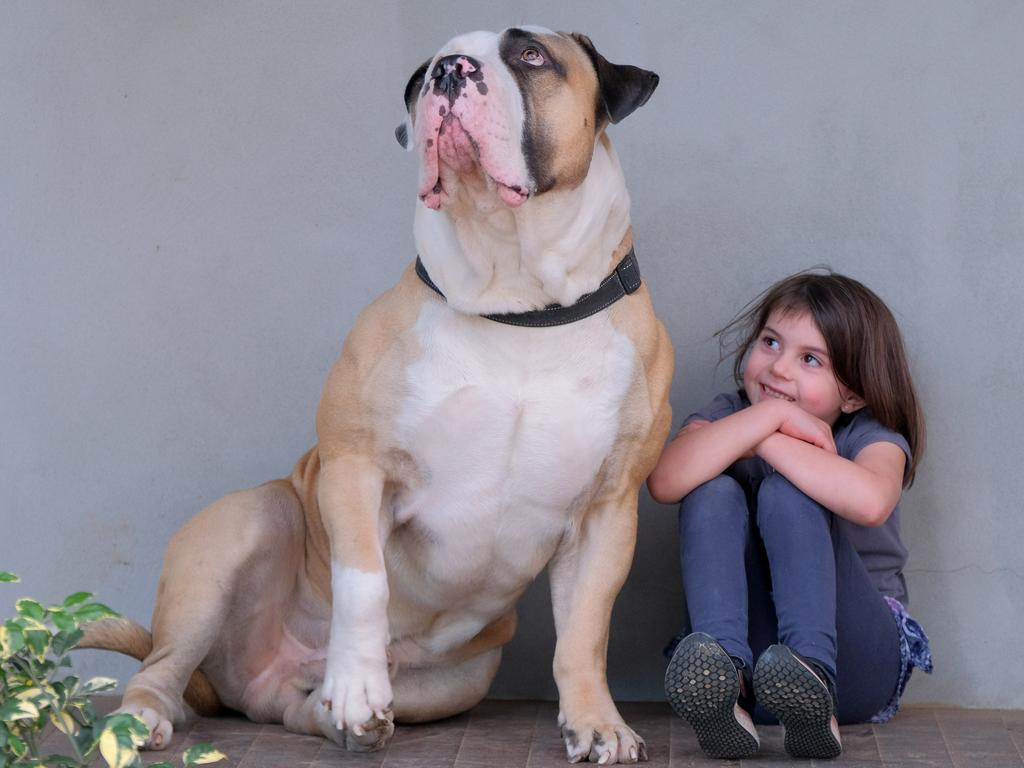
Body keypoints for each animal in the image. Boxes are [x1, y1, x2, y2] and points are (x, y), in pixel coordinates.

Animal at [81, 27, 671, 765]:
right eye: (427, 70)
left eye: (532, 56)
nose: (451, 71)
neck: (519, 307)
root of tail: (244, 681)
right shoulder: (357, 468)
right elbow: (364, 583)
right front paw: (358, 683)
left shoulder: (607, 511)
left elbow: (586, 630)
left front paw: (597, 722)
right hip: (238, 533)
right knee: (161, 666)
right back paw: (150, 718)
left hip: (452, 684)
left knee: (294, 710)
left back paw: (334, 716)